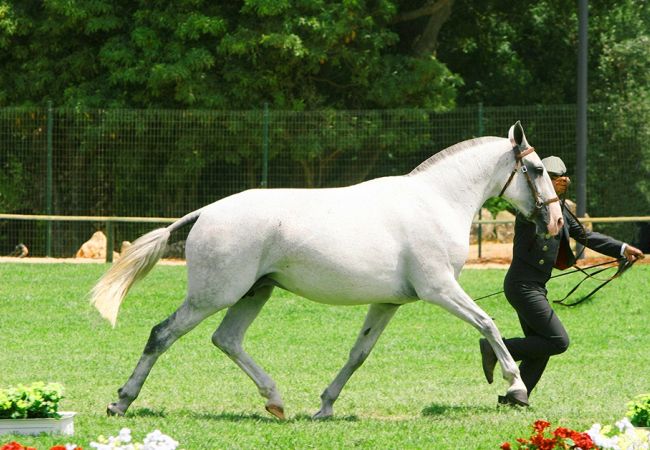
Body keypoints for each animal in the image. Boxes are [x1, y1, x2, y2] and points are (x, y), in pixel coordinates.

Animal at [91, 122, 560, 418]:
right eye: (537, 170)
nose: (556, 222)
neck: (436, 202)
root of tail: (206, 212)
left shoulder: (388, 303)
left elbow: (358, 353)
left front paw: (325, 406)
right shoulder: (439, 289)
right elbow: (488, 323)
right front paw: (516, 388)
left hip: (253, 293)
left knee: (226, 339)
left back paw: (276, 401)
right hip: (214, 295)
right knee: (162, 334)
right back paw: (121, 402)